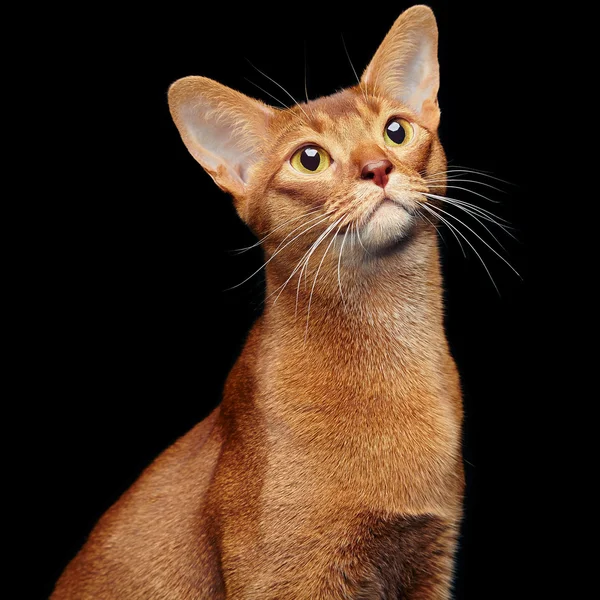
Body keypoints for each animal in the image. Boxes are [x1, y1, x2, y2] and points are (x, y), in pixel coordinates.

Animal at [51, 5, 464, 600]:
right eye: (309, 159)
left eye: (396, 130)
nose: (378, 168)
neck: (391, 347)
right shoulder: (283, 577)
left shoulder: (427, 563)